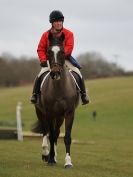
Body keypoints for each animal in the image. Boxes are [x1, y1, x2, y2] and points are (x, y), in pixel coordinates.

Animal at [32, 32, 79, 169]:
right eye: (48, 52)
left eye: (63, 52)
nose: (55, 73)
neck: (59, 88)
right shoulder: (49, 113)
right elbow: (51, 135)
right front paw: (51, 159)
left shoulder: (69, 113)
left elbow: (66, 137)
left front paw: (68, 162)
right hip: (41, 113)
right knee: (46, 132)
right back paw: (46, 154)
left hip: (59, 117)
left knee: (56, 132)